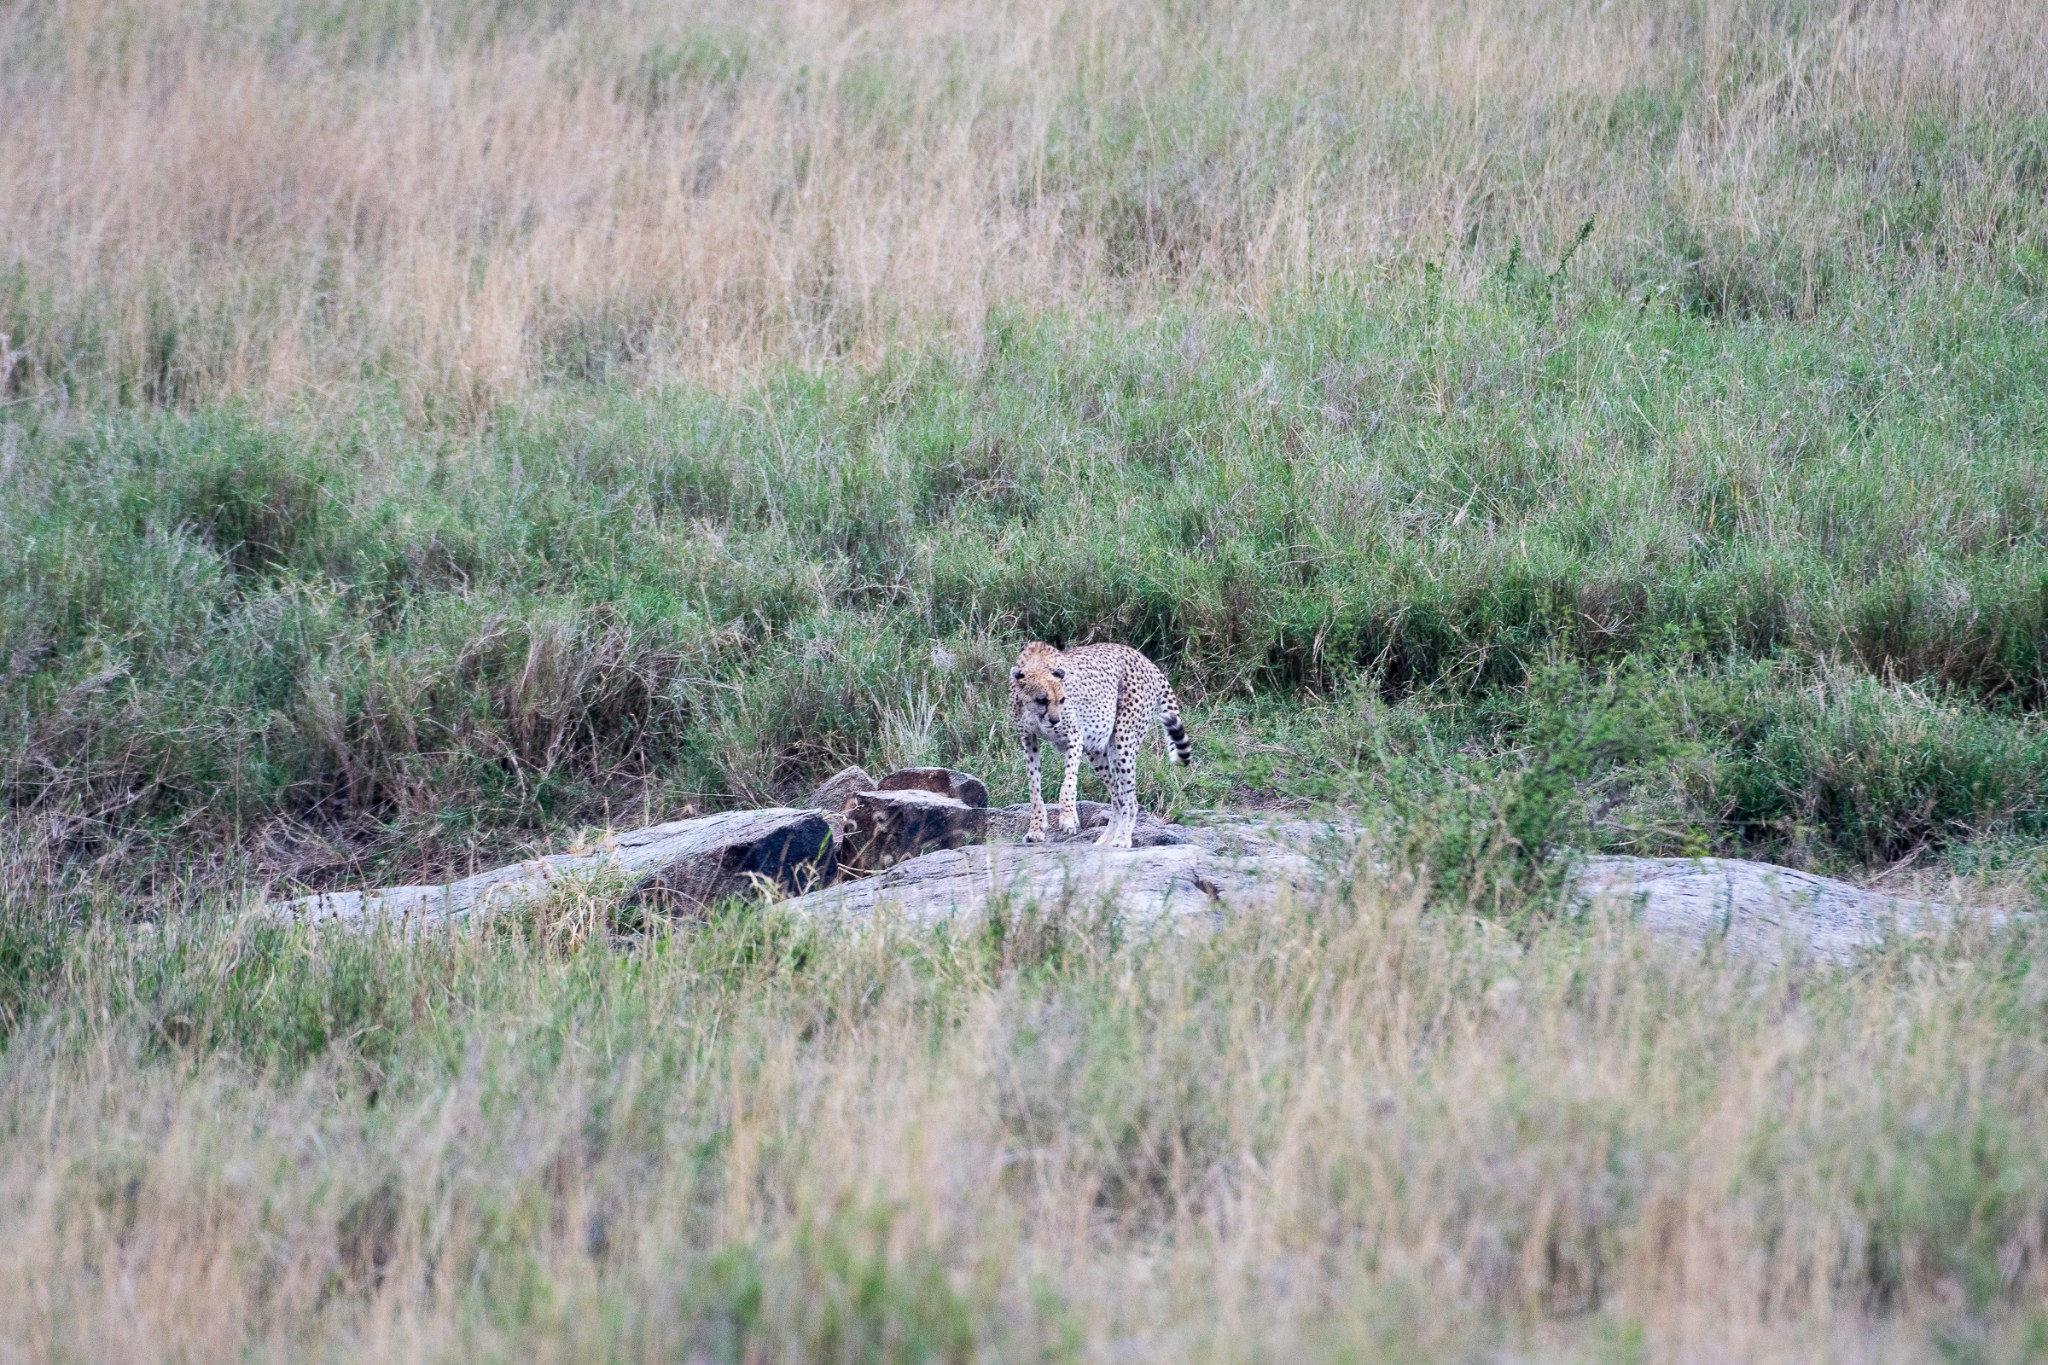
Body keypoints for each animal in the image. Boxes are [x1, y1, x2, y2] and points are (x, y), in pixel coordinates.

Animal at [1011, 638, 1196, 843]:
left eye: (1062, 700)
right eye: (1042, 700)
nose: (1055, 720)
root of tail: (1145, 660)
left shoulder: (1074, 737)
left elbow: (1068, 782)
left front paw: (1068, 818)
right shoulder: (1029, 740)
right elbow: (1034, 787)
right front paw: (1036, 829)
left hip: (1124, 740)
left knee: (1131, 800)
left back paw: (1122, 840)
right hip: (1099, 754)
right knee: (1118, 796)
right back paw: (1105, 841)